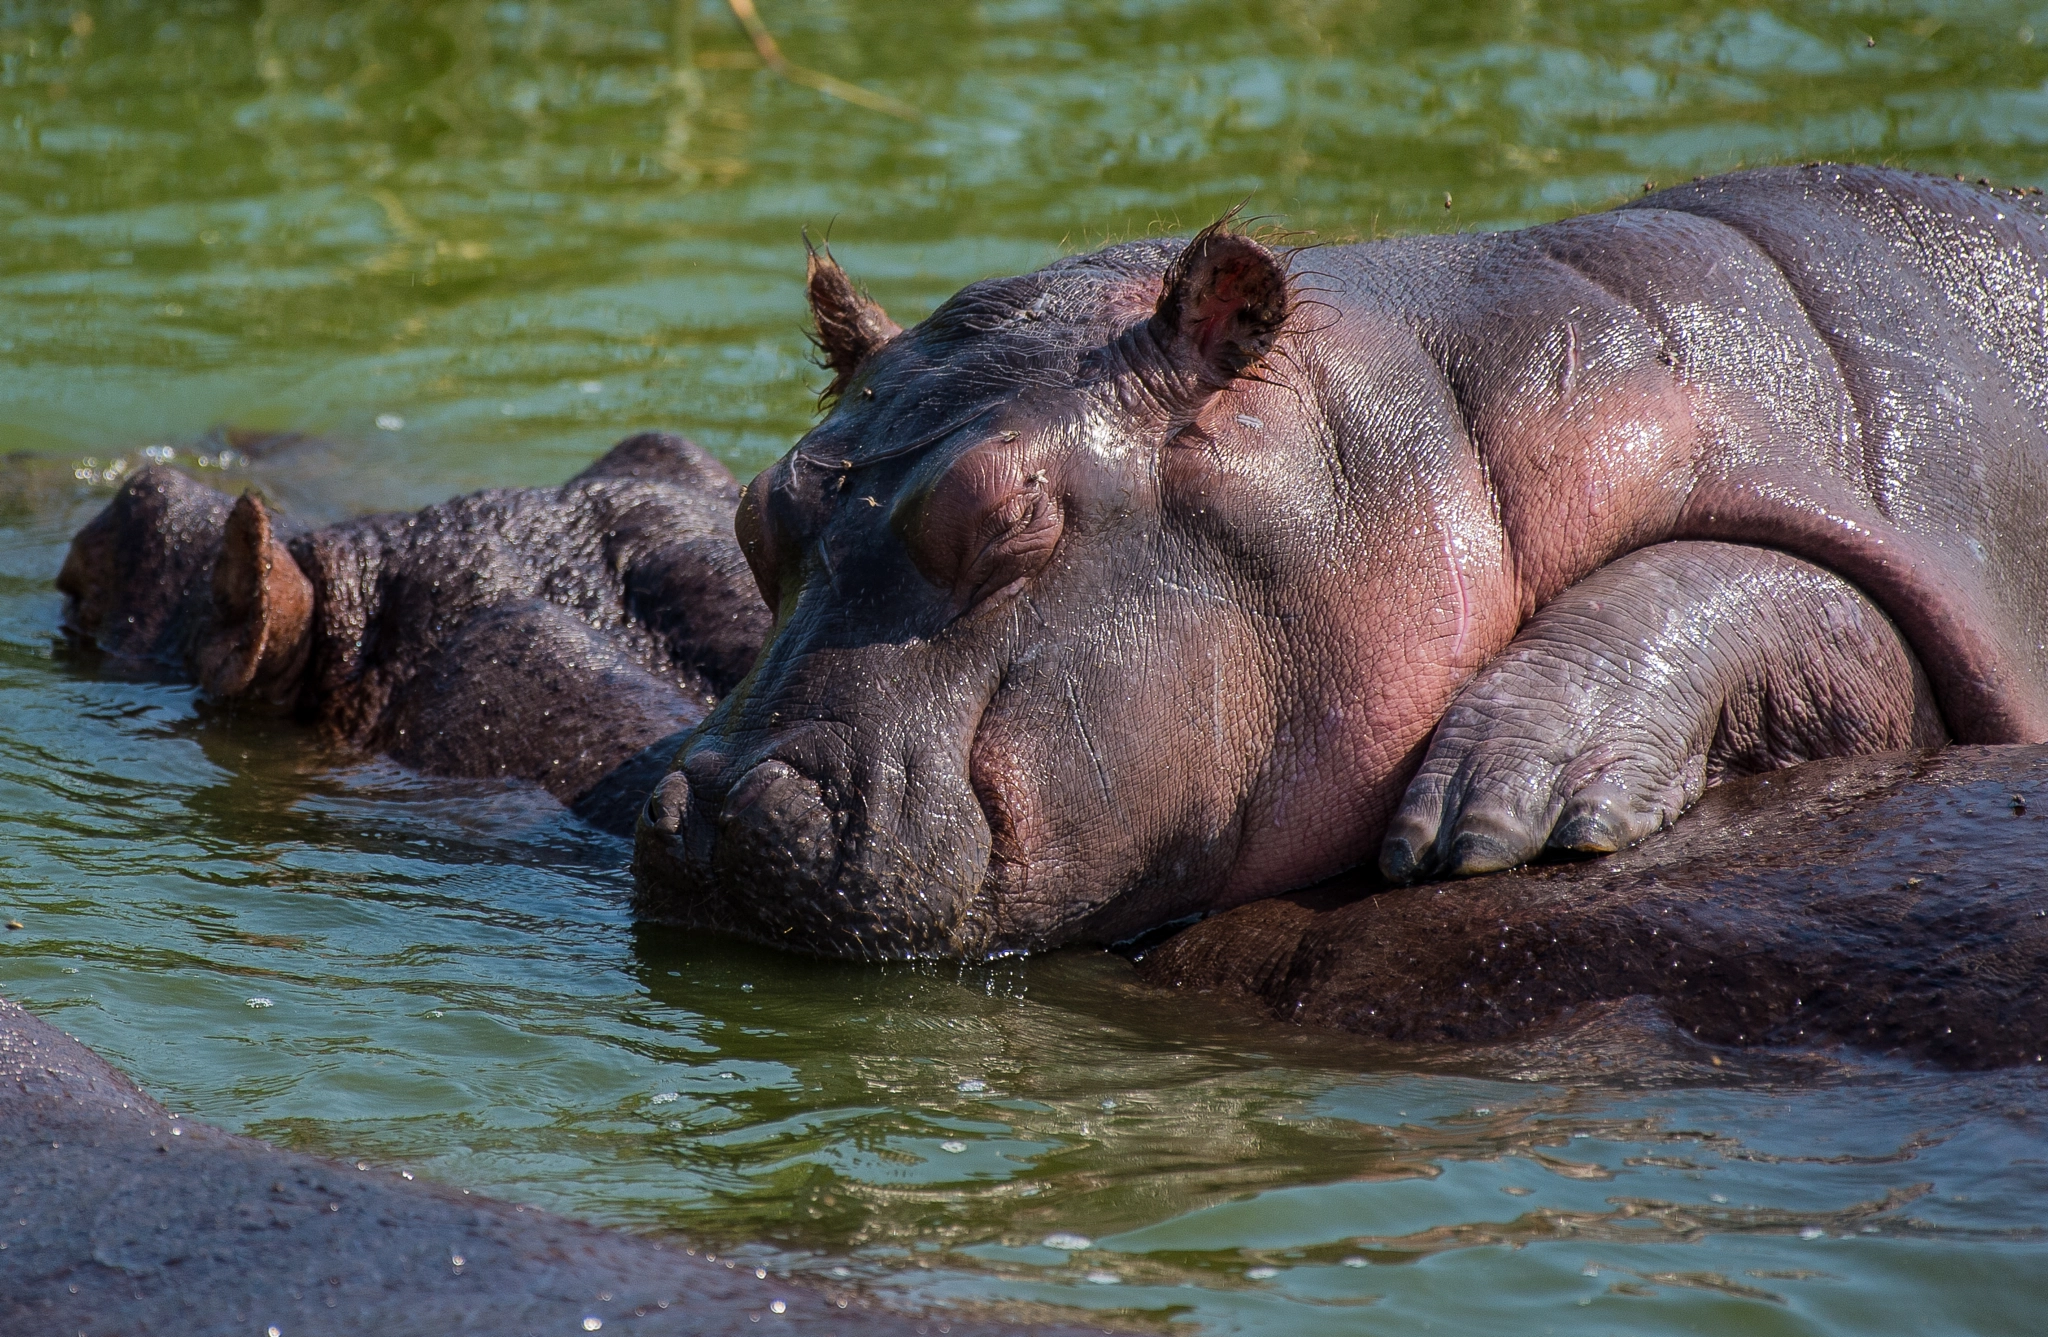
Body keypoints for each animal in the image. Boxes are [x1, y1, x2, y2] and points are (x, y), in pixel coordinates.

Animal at [640, 164, 2048, 960]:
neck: (1438, 413)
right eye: (757, 512)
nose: (707, 803)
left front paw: (1499, 804)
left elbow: (1772, 594)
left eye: (1005, 518)